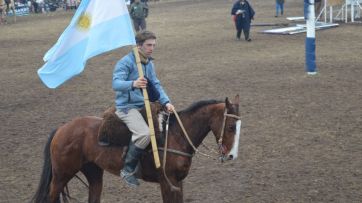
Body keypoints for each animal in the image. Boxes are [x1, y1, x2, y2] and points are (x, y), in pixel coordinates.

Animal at [31, 95, 240, 203]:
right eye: (230, 126)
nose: (231, 155)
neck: (176, 135)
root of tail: (62, 128)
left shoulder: (178, 182)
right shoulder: (167, 182)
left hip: (93, 173)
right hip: (61, 175)